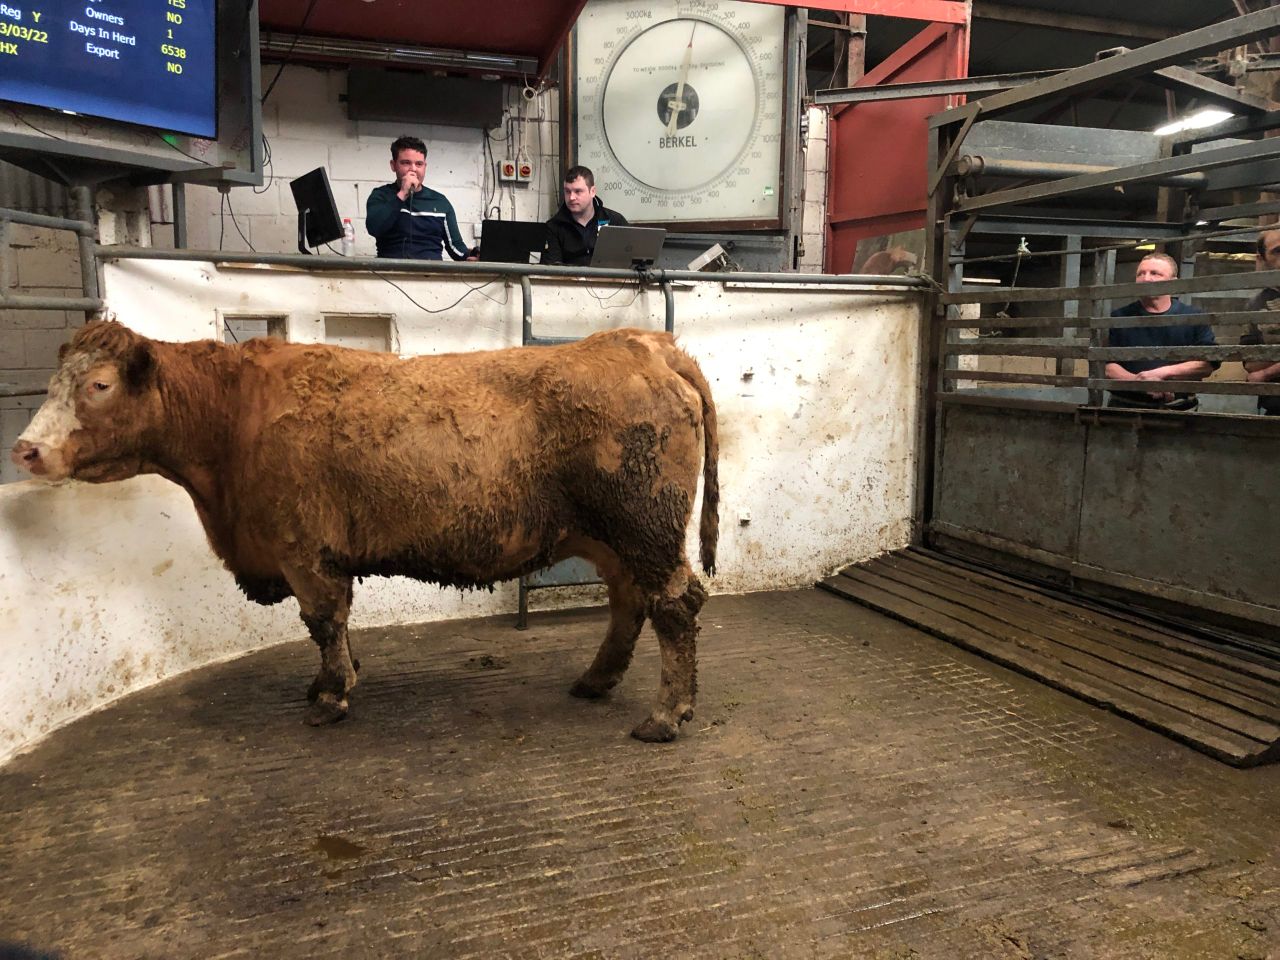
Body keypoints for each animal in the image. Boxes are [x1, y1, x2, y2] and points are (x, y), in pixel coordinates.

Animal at [12, 321, 719, 742]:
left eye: (99, 384)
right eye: (52, 383)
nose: (25, 450)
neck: (235, 414)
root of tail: (642, 343)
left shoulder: (301, 548)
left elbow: (323, 621)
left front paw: (329, 697)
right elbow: (338, 623)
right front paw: (341, 677)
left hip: (645, 528)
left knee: (675, 605)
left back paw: (666, 714)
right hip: (615, 537)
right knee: (630, 604)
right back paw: (596, 681)